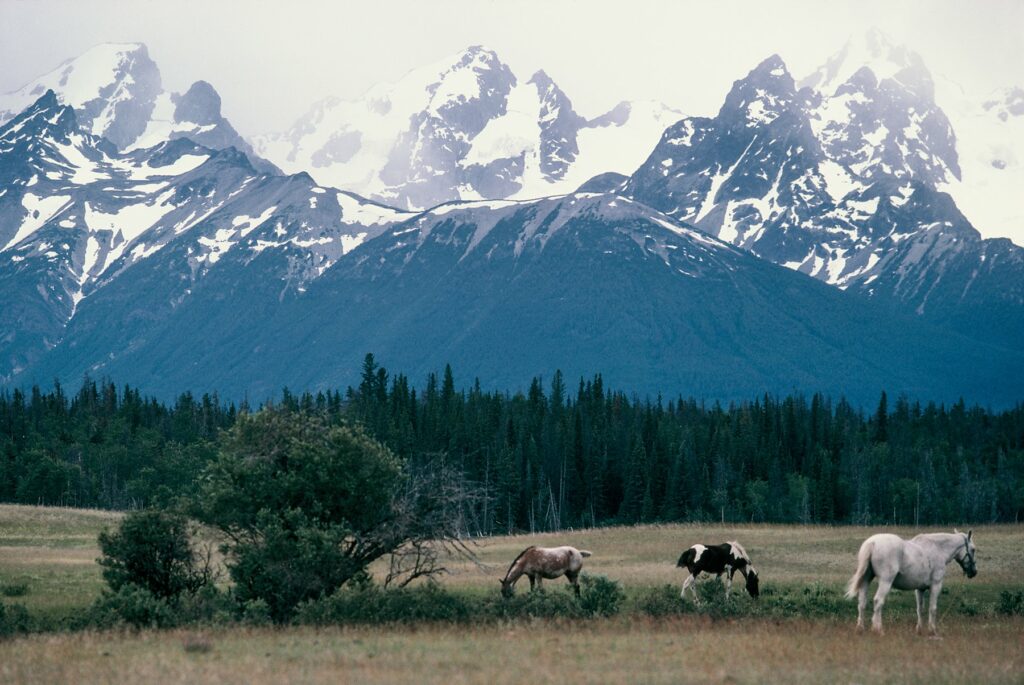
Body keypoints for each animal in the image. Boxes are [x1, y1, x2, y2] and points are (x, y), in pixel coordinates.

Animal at [843, 528, 978, 634]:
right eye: (973, 549)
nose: (974, 572)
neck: (938, 548)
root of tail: (873, 542)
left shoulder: (920, 589)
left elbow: (920, 609)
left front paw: (919, 629)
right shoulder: (936, 586)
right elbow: (932, 608)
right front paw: (932, 630)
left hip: (866, 580)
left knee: (862, 603)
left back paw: (860, 628)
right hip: (885, 582)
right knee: (878, 601)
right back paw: (878, 629)